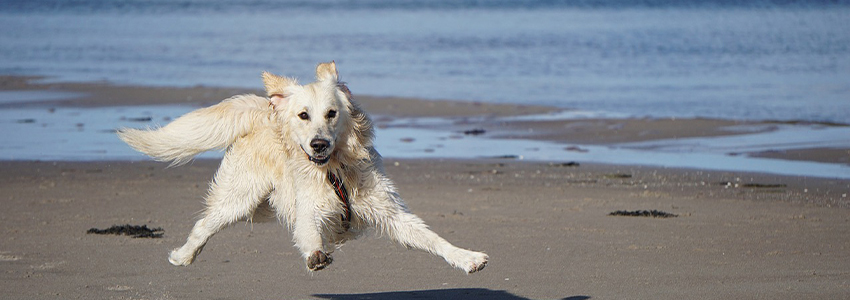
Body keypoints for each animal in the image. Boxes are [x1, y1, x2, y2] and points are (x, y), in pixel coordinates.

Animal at [121, 62, 490, 274]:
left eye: (331, 113)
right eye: (303, 115)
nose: (319, 144)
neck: (335, 171)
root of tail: (266, 109)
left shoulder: (390, 211)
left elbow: (432, 238)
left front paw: (466, 257)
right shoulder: (307, 207)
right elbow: (310, 231)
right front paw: (316, 254)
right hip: (239, 198)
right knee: (204, 224)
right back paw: (183, 256)